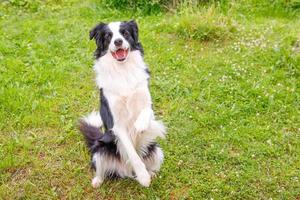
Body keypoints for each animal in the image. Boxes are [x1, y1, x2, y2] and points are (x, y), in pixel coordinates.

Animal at [78, 20, 166, 188]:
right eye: (108, 36)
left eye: (124, 33)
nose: (118, 41)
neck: (123, 70)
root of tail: (126, 171)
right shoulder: (117, 124)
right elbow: (133, 153)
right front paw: (143, 177)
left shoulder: (146, 102)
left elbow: (146, 112)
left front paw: (140, 125)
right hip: (100, 149)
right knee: (100, 170)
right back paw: (97, 181)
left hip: (156, 150)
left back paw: (151, 173)